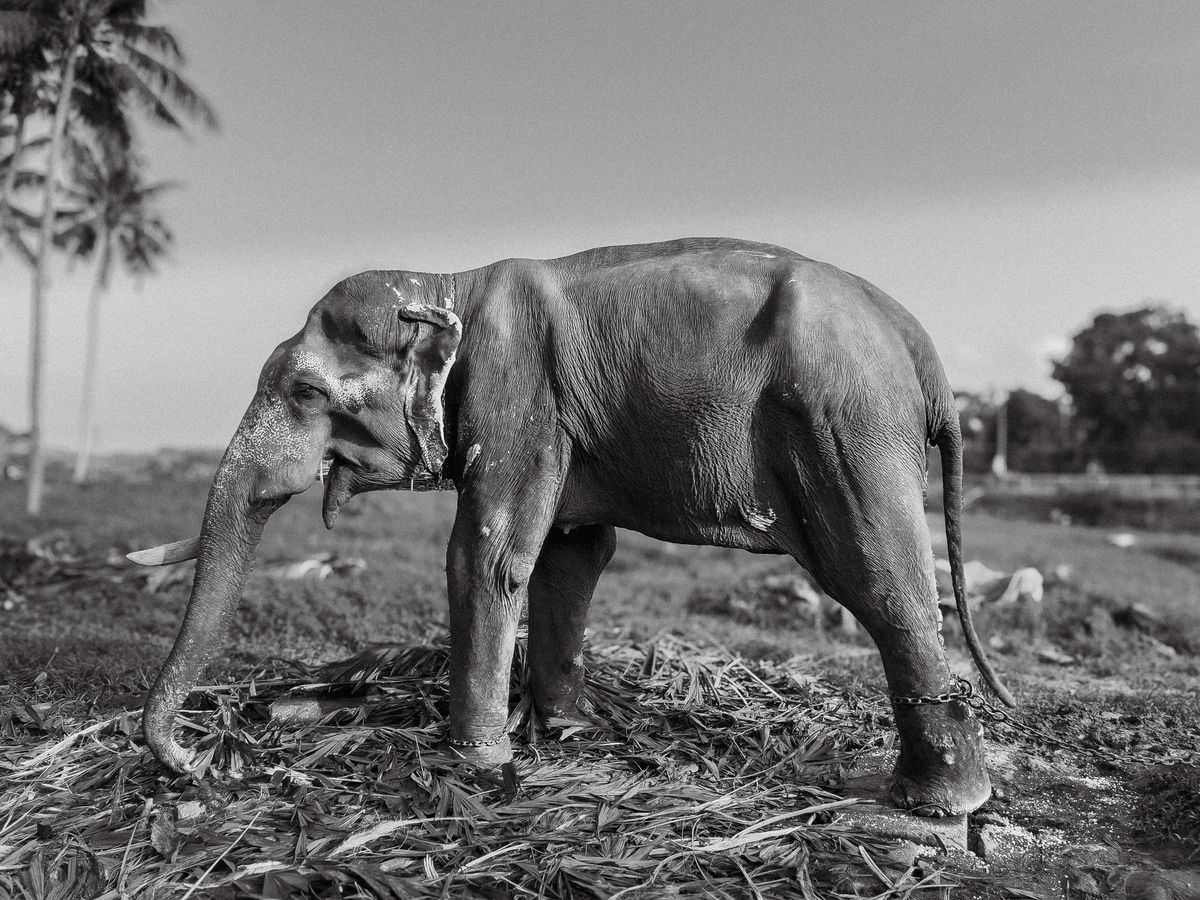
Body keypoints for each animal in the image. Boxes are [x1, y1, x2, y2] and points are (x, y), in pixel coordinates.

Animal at [131, 237, 1012, 817]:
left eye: (307, 394)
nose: (204, 764)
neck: (450, 281)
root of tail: (921, 347)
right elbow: (572, 553)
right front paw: (564, 732)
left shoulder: (516, 394)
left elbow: (487, 556)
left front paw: (477, 765)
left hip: (846, 429)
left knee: (880, 581)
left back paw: (934, 806)